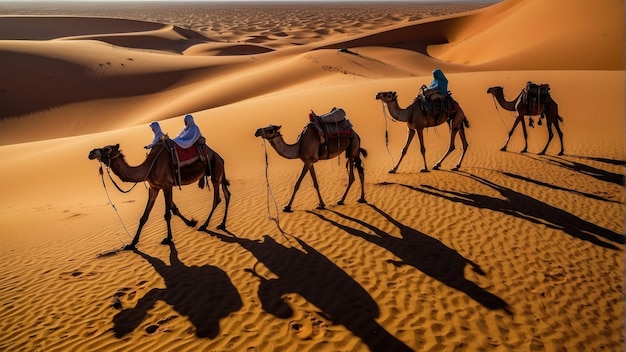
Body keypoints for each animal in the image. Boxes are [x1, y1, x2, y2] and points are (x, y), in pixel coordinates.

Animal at [88, 142, 232, 249]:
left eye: (106, 149)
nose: (91, 153)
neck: (148, 168)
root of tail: (220, 158)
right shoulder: (154, 188)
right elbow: (145, 216)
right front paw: (132, 243)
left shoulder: (167, 186)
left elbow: (167, 214)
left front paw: (168, 238)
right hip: (219, 174)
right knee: (227, 194)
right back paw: (222, 224)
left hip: (215, 174)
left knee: (217, 199)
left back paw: (204, 225)